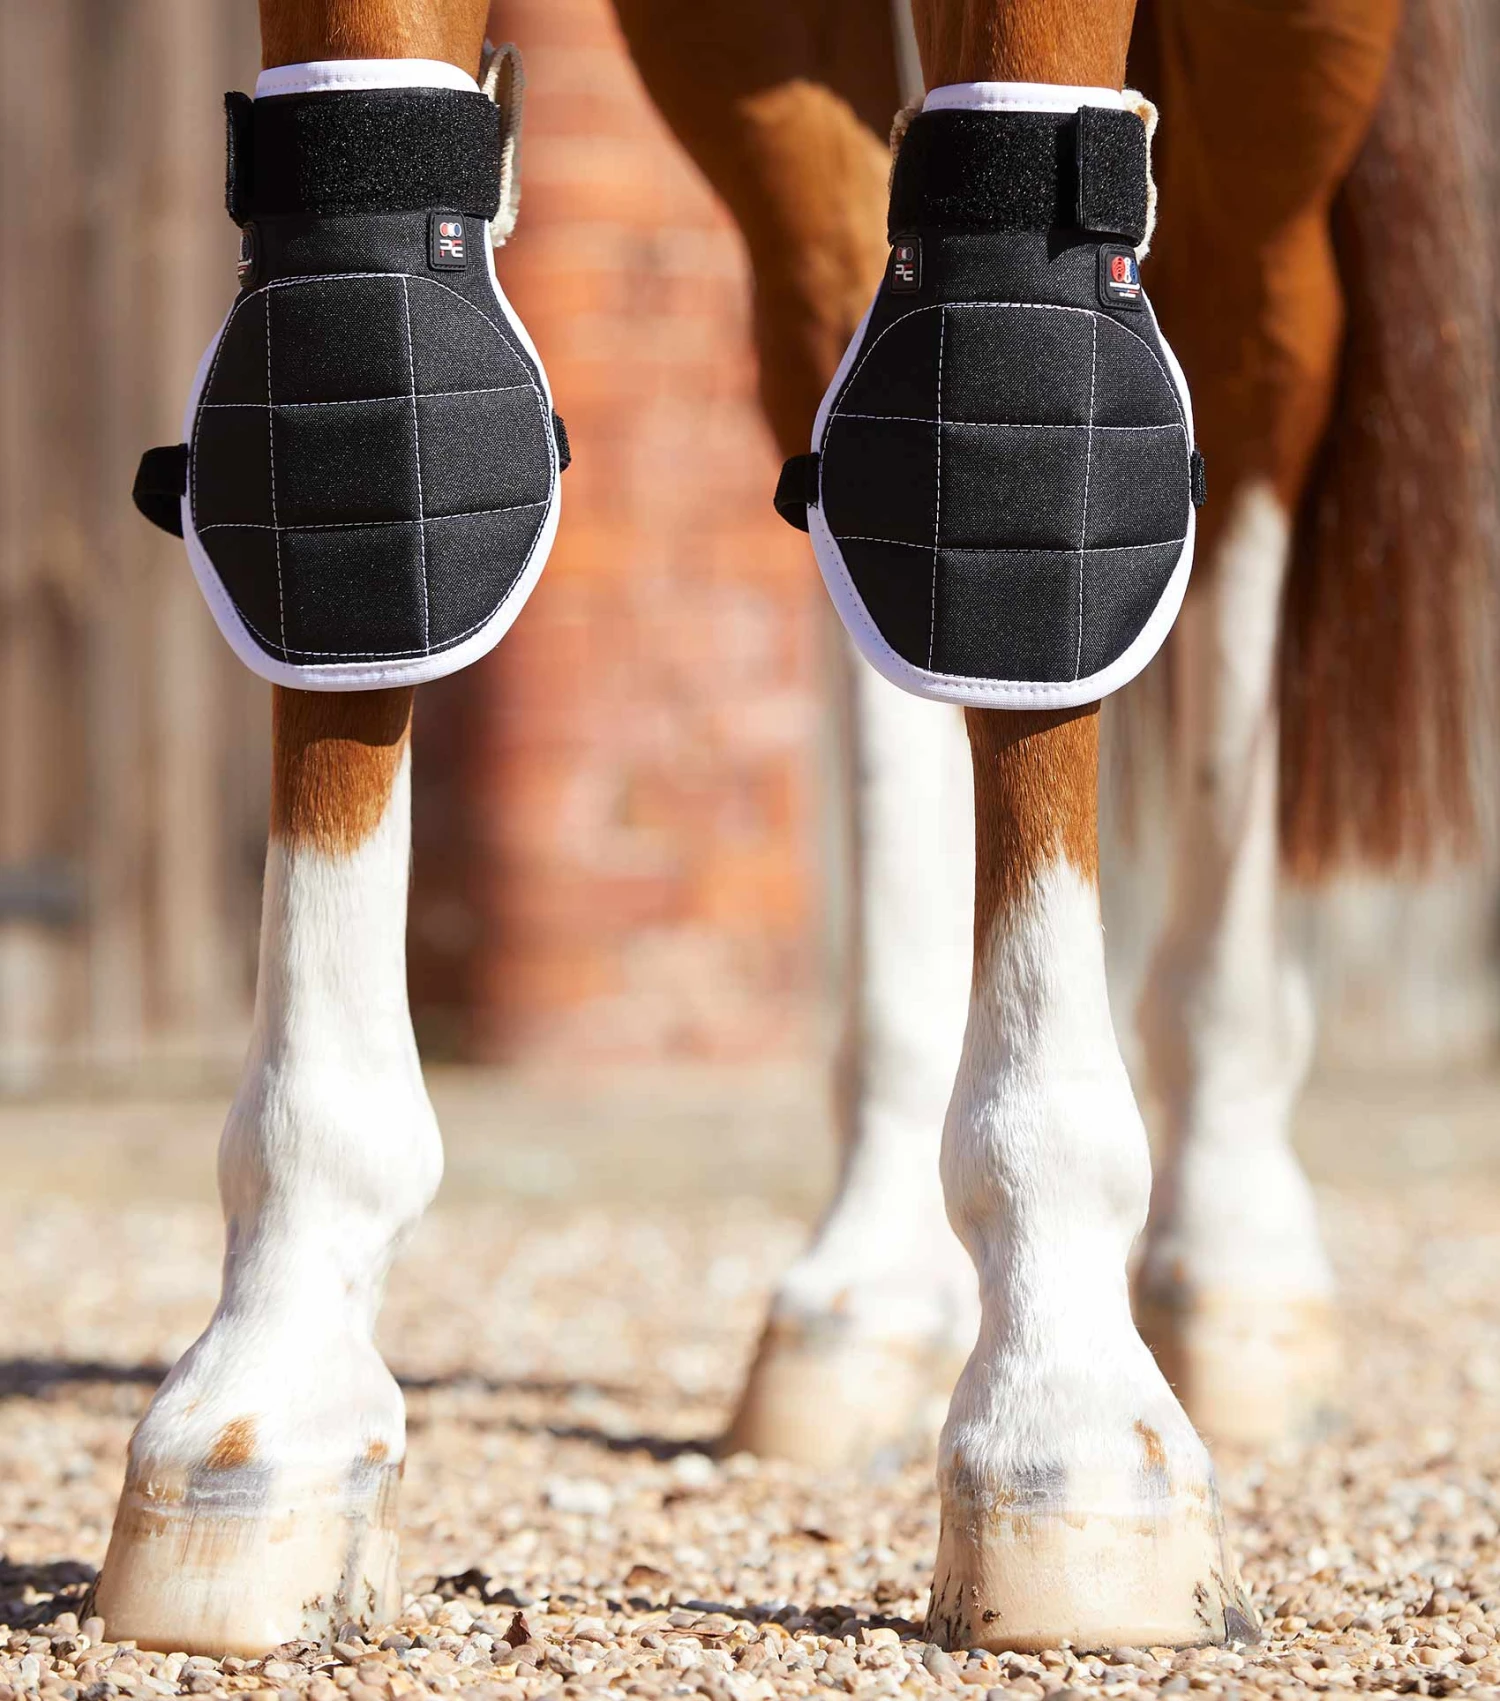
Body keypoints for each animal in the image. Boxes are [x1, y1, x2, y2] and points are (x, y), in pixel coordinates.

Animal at [87, 0, 1490, 1661]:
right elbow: (350, 311)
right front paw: (269, 1396)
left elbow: (1028, 358)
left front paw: (1070, 1422)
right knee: (841, 358)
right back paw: (874, 1276)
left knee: (1262, 369)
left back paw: (1234, 1251)